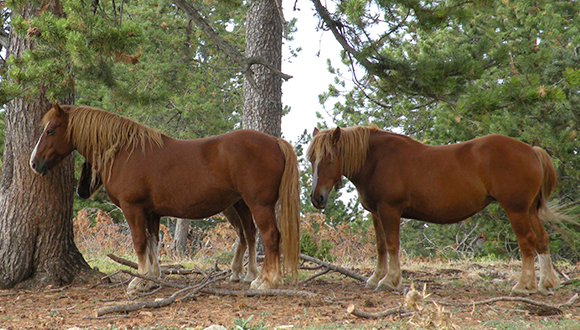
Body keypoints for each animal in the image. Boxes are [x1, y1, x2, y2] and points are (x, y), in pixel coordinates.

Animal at [29, 104, 302, 292]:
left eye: (50, 131)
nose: (34, 163)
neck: (124, 151)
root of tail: (274, 141)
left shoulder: (133, 209)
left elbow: (139, 242)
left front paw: (137, 283)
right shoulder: (151, 212)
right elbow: (152, 242)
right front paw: (151, 278)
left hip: (258, 204)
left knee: (270, 236)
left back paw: (268, 281)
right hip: (242, 204)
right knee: (253, 234)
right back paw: (255, 277)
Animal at [308, 125, 560, 296]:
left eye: (329, 159)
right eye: (311, 159)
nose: (317, 198)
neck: (377, 159)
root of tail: (530, 149)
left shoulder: (389, 210)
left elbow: (392, 245)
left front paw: (390, 280)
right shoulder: (376, 213)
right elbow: (380, 246)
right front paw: (376, 277)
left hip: (516, 210)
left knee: (526, 242)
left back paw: (523, 285)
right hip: (529, 210)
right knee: (541, 240)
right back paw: (545, 283)